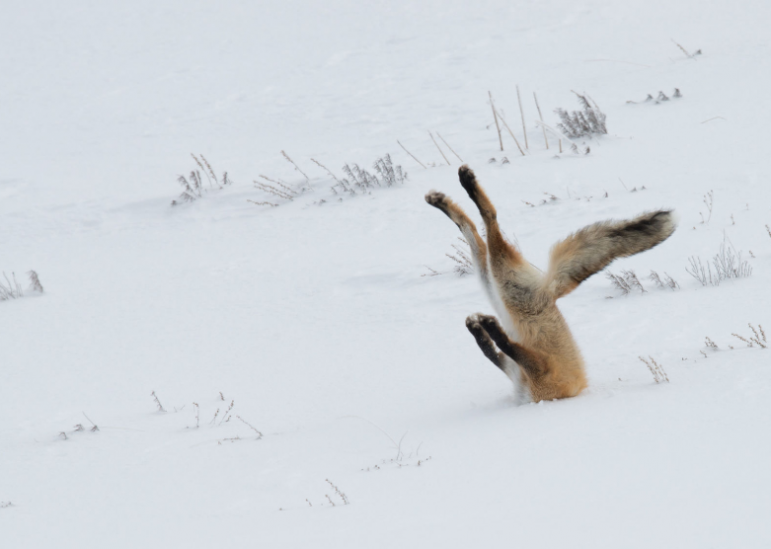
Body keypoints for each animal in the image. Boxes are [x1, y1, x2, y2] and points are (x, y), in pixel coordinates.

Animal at [428, 165, 676, 400]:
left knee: (489, 219)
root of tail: (551, 290)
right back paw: (443, 199)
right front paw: (479, 328)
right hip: (495, 282)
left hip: (502, 282)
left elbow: (502, 346)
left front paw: (487, 327)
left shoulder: (538, 372)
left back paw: (464, 186)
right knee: (472, 227)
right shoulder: (518, 370)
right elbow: (490, 349)